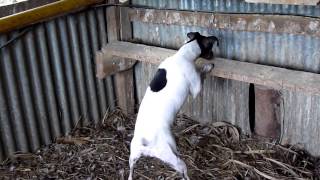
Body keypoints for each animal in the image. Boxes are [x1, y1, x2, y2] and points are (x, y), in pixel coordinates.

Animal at [129, 31, 219, 179]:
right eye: (210, 49)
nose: (213, 57)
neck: (182, 55)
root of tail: (147, 147)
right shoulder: (195, 87)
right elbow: (201, 74)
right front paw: (207, 67)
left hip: (133, 154)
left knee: (130, 170)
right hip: (174, 158)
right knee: (183, 171)